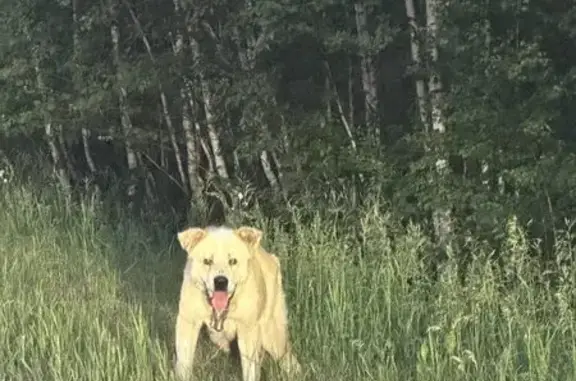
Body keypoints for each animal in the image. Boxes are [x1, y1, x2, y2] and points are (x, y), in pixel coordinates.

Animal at [174, 226, 302, 380]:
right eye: (207, 261)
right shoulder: (188, 322)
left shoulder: (248, 330)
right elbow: (184, 363)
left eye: (233, 261)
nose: (220, 281)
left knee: (289, 359)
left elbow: (250, 370)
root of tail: (271, 257)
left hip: (272, 335)